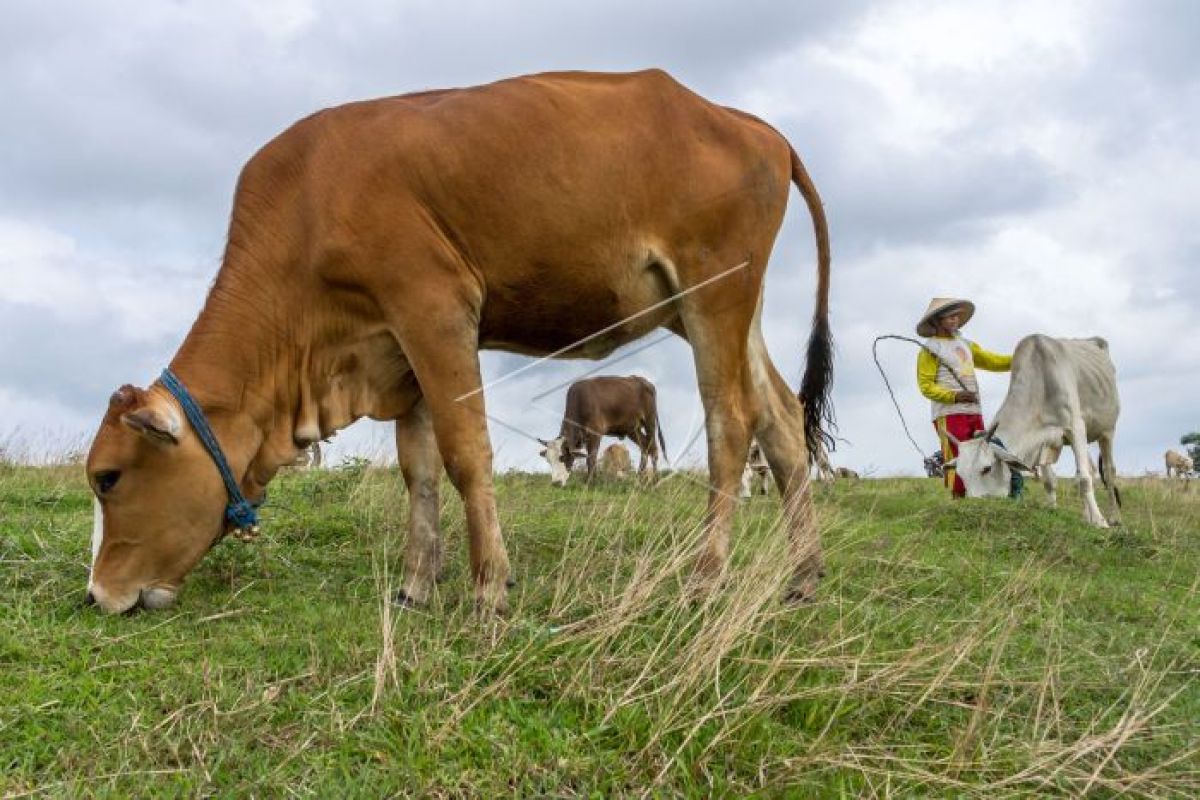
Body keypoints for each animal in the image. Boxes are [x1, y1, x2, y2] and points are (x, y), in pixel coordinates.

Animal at [542, 376, 672, 484]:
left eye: (563, 458)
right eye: (549, 461)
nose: (556, 483)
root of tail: (643, 380)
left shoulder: (595, 432)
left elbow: (591, 458)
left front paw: (589, 482)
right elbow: (591, 458)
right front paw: (592, 480)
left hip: (650, 421)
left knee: (653, 449)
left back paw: (655, 480)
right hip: (633, 429)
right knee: (645, 448)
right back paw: (638, 477)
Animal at [945, 335, 1123, 527]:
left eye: (987, 468)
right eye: (959, 474)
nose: (973, 506)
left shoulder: (1076, 427)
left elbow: (1084, 479)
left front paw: (1099, 521)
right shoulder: (1042, 443)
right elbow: (1050, 481)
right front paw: (1052, 509)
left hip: (1107, 431)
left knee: (1108, 471)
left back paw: (1114, 517)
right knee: (1090, 468)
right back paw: (1086, 516)